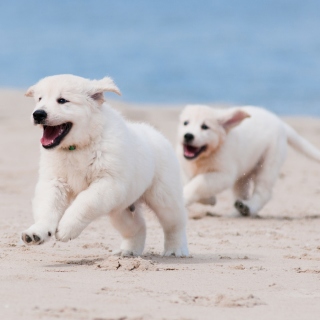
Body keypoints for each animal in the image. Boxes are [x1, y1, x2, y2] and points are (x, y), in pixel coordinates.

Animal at [21, 73, 189, 258]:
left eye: (62, 100)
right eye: (39, 99)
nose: (38, 114)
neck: (77, 147)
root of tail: (156, 134)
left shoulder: (108, 182)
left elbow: (84, 202)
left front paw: (66, 228)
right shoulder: (54, 181)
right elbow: (47, 206)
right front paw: (37, 232)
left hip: (164, 196)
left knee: (175, 222)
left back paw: (175, 249)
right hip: (121, 209)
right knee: (137, 226)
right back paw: (128, 251)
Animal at [178, 105, 320, 218]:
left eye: (205, 127)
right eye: (185, 123)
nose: (188, 135)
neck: (203, 157)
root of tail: (280, 122)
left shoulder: (224, 174)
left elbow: (197, 183)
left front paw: (186, 197)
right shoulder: (183, 167)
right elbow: (190, 181)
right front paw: (210, 199)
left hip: (269, 161)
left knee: (264, 192)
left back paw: (248, 208)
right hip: (243, 175)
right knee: (242, 193)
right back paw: (238, 211)